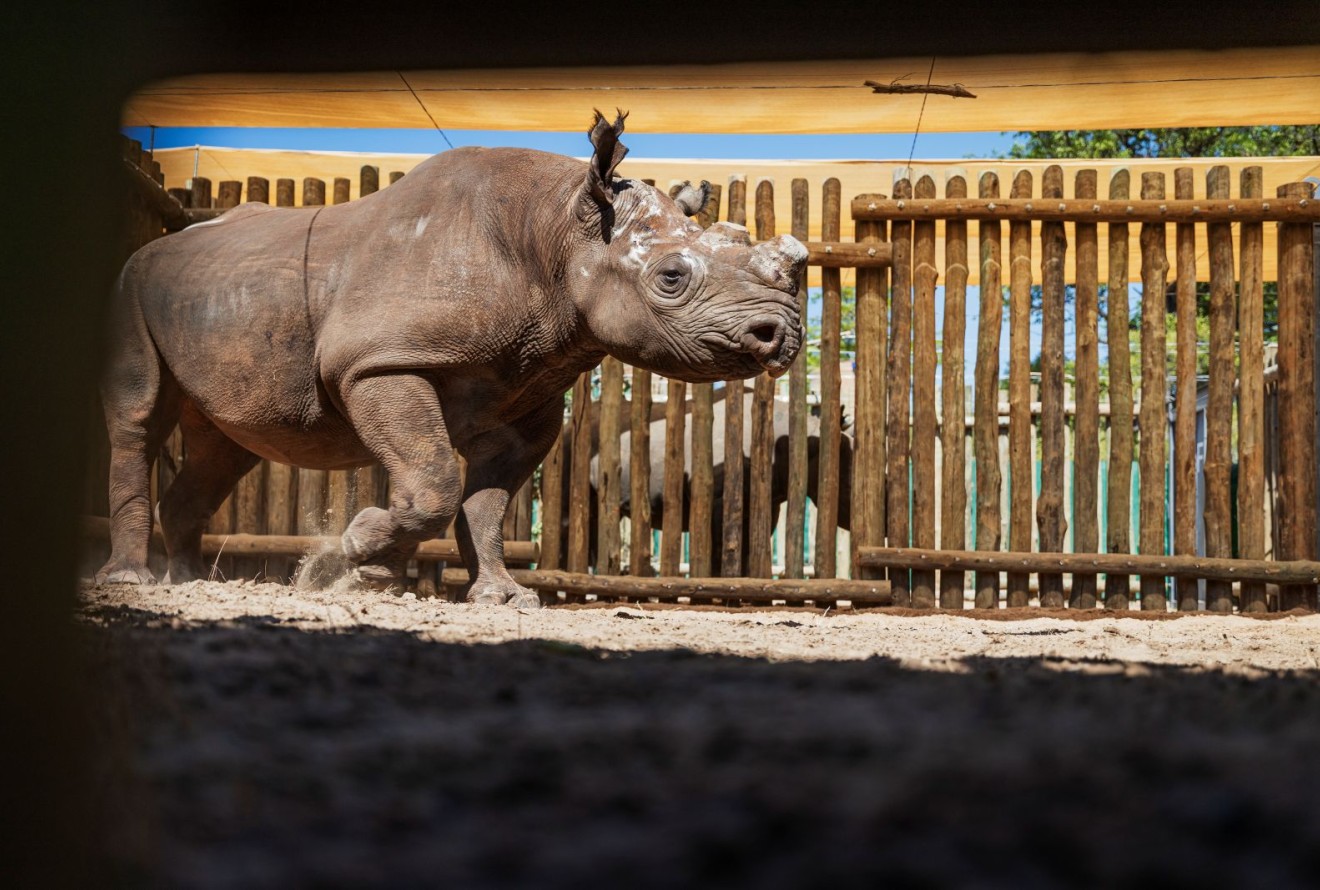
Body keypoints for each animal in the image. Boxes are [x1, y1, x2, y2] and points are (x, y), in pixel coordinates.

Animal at [95, 111, 807, 607]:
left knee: (226, 446)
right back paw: (134, 581)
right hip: (131, 284)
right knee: (140, 419)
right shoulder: (380, 361)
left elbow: (486, 503)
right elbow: (435, 478)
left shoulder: (529, 395)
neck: (557, 229)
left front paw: (497, 596)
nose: (782, 334)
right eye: (670, 279)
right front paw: (355, 554)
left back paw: (187, 581)